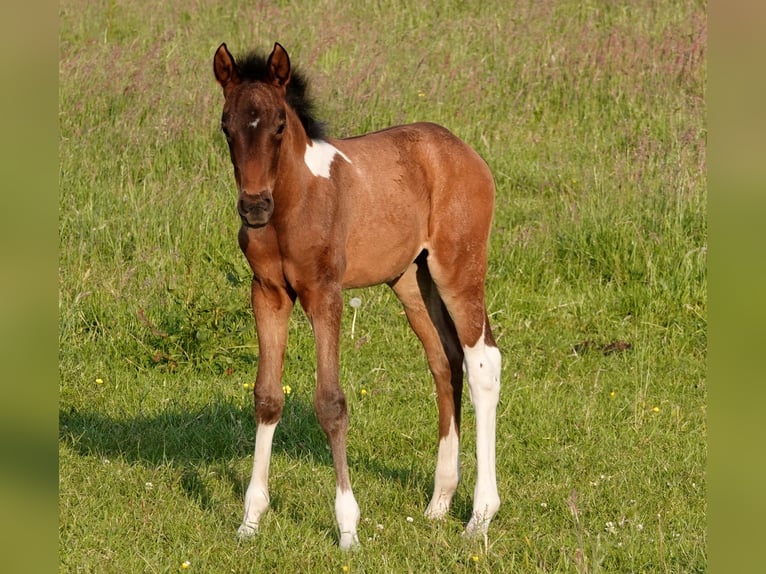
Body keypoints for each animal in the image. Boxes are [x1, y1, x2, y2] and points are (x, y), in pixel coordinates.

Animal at [214, 41, 504, 548]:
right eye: (226, 126)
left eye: (279, 125)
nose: (253, 207)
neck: (294, 203)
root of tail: (463, 152)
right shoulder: (267, 293)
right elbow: (267, 396)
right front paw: (250, 521)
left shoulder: (324, 293)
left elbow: (331, 403)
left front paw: (348, 527)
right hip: (412, 281)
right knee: (445, 361)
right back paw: (438, 504)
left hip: (459, 270)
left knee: (482, 363)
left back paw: (479, 517)